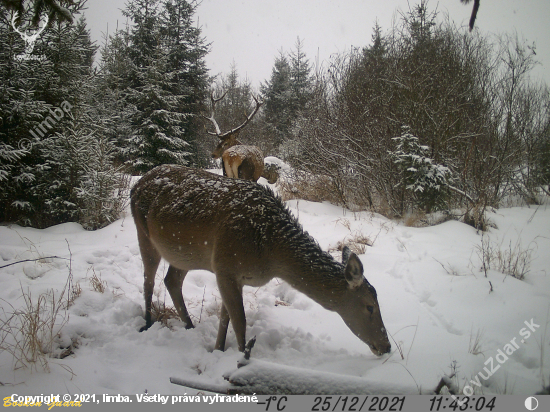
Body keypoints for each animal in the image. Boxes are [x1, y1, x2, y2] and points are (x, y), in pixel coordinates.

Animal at [130, 163, 392, 354]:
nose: (387, 347)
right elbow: (240, 322)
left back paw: (189, 325)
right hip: (143, 232)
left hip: (184, 255)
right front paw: (240, 359)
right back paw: (147, 323)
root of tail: (136, 185)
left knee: (171, 280)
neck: (270, 253)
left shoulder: (230, 273)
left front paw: (218, 351)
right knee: (148, 279)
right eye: (370, 306)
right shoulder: (224, 265)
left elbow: (226, 319)